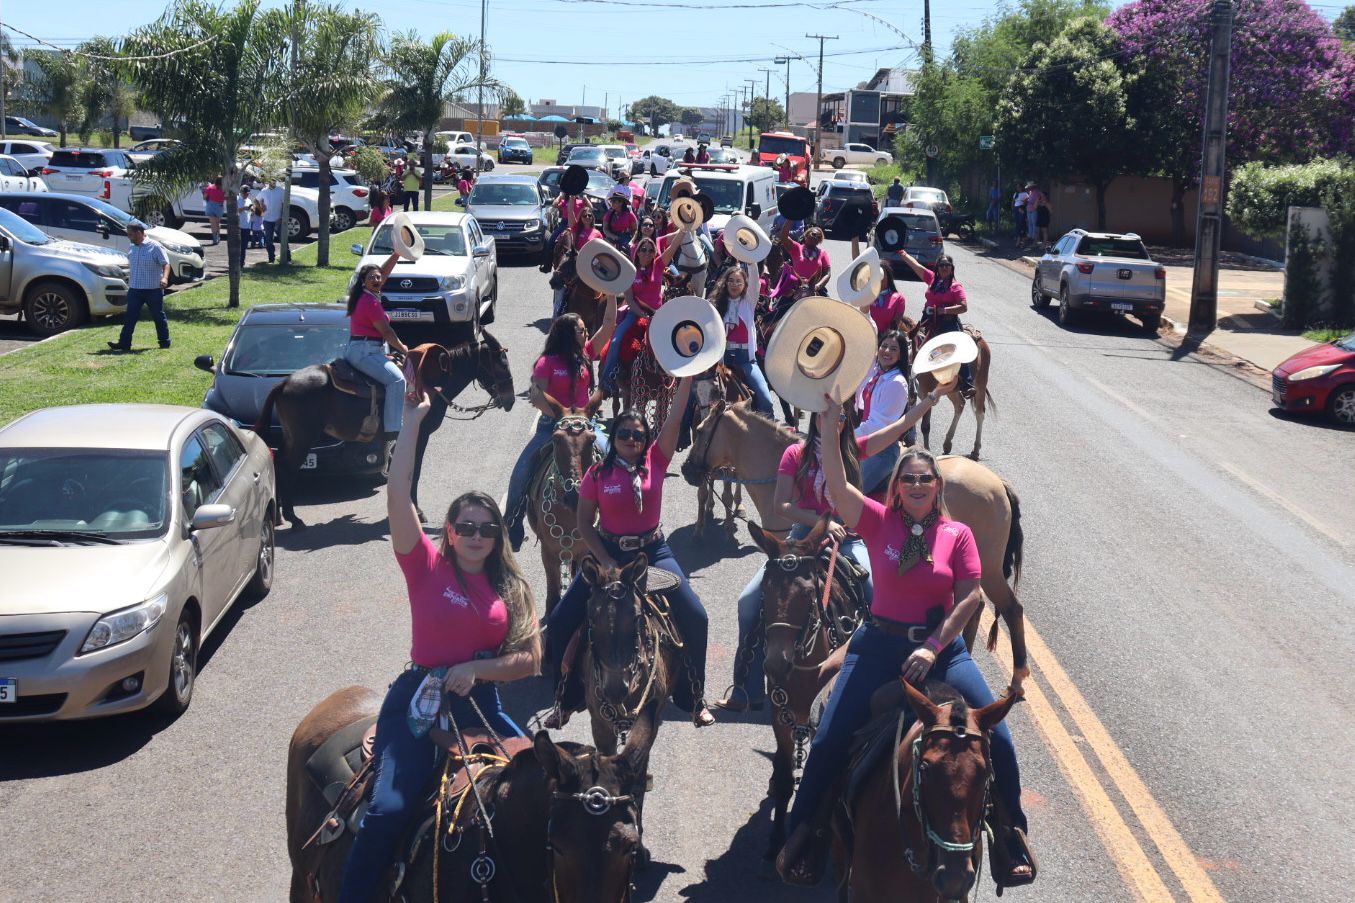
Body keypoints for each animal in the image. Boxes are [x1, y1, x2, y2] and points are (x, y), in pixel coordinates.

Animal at [250, 330, 512, 528]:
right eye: (501, 365)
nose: (509, 399)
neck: (431, 382)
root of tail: (284, 382)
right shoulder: (420, 435)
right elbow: (415, 471)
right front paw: (417, 511)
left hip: (292, 436)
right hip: (303, 437)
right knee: (288, 467)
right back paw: (293, 518)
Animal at [523, 393, 604, 612]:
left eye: (592, 440)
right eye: (556, 439)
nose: (574, 496)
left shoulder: (584, 550)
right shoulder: (548, 552)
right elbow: (552, 594)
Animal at [682, 401, 1029, 683]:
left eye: (699, 431)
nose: (687, 470)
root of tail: (998, 482)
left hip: (987, 567)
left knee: (1010, 607)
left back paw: (1018, 677)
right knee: (977, 604)